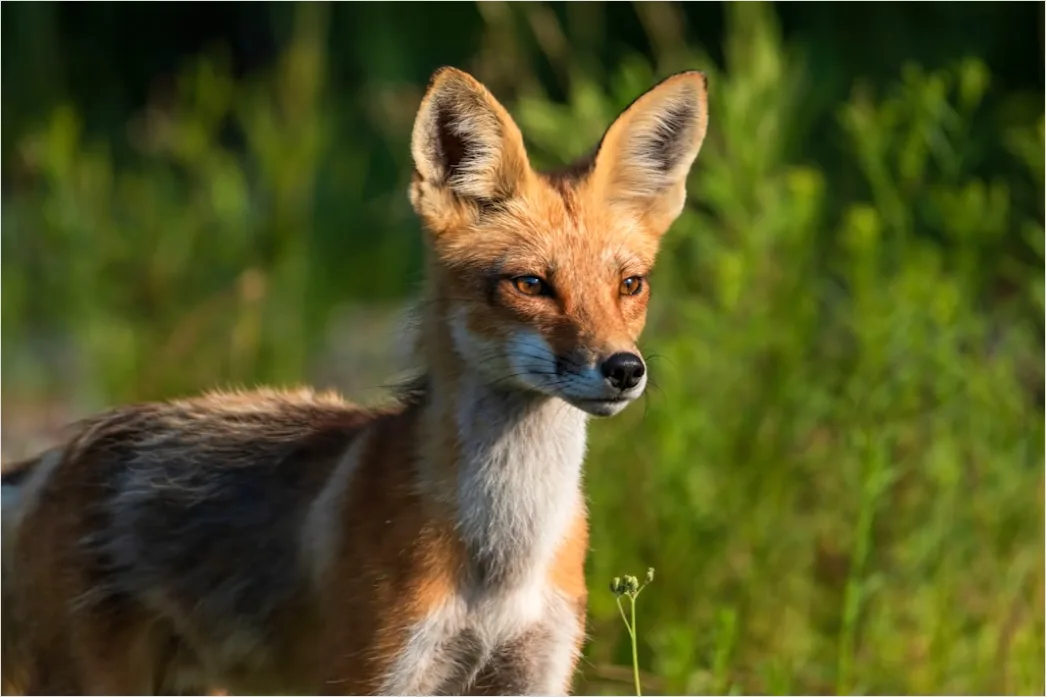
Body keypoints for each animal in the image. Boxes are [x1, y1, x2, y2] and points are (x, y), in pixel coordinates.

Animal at [0, 66, 708, 696]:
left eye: (630, 285)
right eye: (531, 284)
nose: (624, 369)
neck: (500, 567)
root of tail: (57, 455)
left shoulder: (536, 671)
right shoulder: (378, 673)